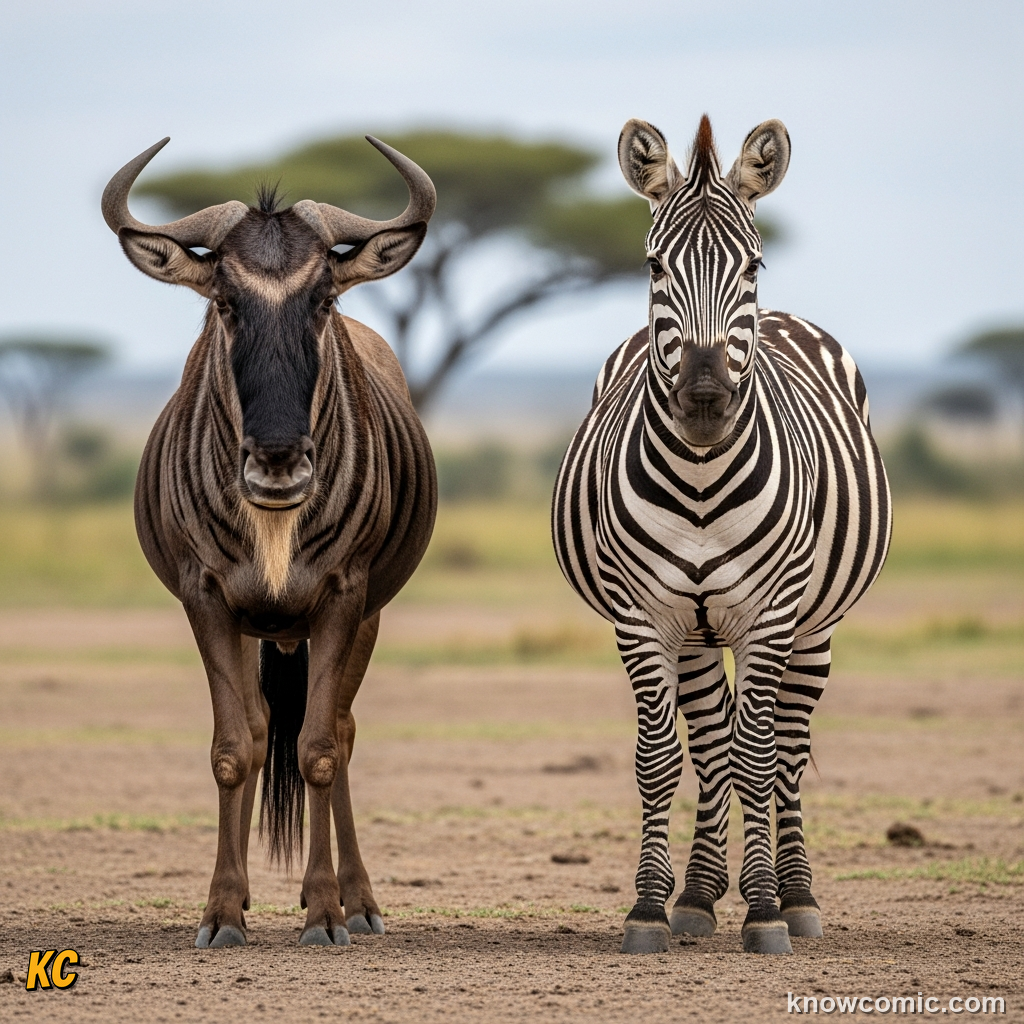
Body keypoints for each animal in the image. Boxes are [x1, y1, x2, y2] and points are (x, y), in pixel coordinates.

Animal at [102, 136, 437, 949]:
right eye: (225, 301)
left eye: (324, 299)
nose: (279, 462)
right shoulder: (208, 598)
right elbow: (236, 747)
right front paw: (223, 911)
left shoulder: (344, 598)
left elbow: (316, 748)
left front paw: (323, 911)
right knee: (262, 732)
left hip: (363, 620)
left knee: (342, 731)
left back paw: (360, 901)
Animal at [552, 115, 890, 954]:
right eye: (652, 265)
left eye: (754, 263)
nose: (705, 400)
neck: (703, 477)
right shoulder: (642, 617)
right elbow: (661, 758)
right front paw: (649, 906)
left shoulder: (770, 616)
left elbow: (760, 757)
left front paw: (765, 909)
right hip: (698, 631)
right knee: (710, 747)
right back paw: (700, 896)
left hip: (813, 624)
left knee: (787, 749)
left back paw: (795, 896)